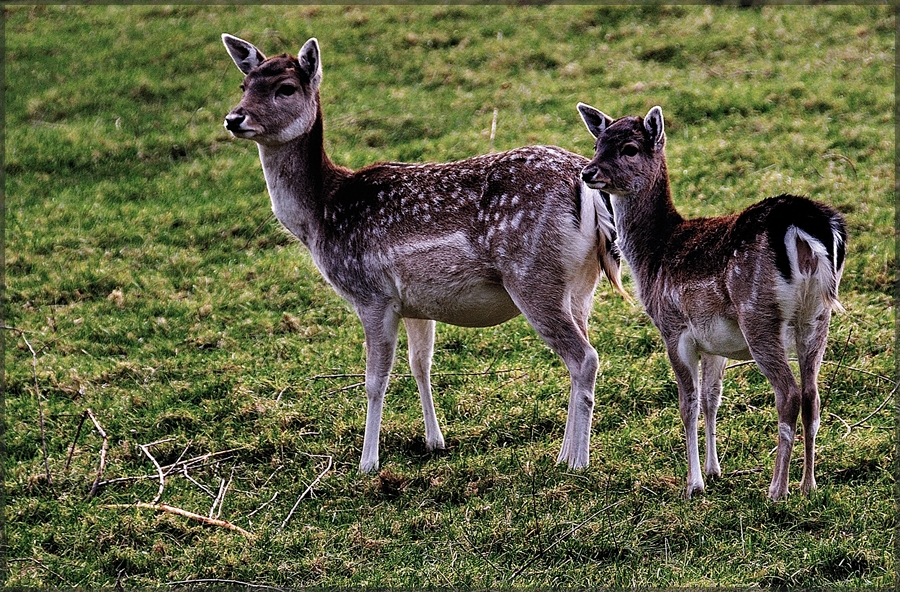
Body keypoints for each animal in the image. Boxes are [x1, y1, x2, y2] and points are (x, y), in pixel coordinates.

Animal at [223, 34, 624, 474]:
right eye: (244, 85)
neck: (322, 215)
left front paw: (367, 463)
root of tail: (586, 186)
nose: (234, 118)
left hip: (532, 275)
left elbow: (375, 379)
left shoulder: (371, 295)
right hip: (581, 284)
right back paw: (564, 453)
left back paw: (578, 463)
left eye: (286, 88)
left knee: (584, 357)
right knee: (579, 352)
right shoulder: (415, 303)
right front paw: (435, 441)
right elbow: (421, 364)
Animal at [576, 103, 844, 500]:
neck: (654, 256)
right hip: (816, 315)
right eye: (598, 144)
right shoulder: (716, 342)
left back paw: (777, 489)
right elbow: (711, 399)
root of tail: (804, 230)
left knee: (789, 393)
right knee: (812, 394)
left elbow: (687, 404)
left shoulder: (674, 329)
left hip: (759, 314)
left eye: (629, 148)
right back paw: (808, 485)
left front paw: (694, 484)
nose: (589, 171)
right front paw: (714, 470)